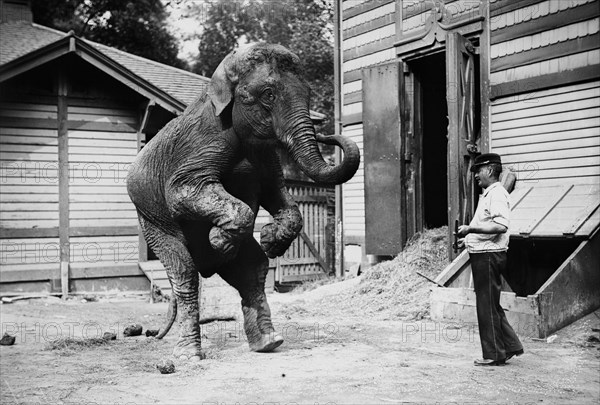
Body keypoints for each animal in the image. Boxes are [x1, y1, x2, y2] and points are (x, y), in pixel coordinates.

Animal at [126, 43, 358, 360]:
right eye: (269, 94)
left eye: (309, 92)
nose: (328, 133)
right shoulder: (198, 147)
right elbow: (181, 192)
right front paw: (218, 240)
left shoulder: (266, 159)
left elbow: (277, 194)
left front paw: (269, 240)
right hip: (152, 222)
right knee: (185, 274)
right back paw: (189, 355)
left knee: (253, 269)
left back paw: (269, 342)